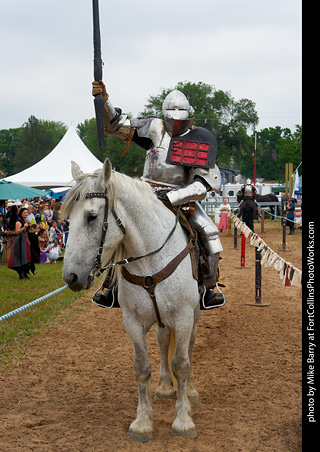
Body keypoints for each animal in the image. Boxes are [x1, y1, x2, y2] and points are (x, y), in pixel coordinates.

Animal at [62, 158, 201, 442]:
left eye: (91, 216)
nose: (70, 276)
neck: (151, 259)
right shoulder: (133, 322)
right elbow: (141, 368)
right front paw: (142, 422)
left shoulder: (183, 317)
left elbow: (181, 363)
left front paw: (183, 421)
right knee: (162, 342)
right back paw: (165, 387)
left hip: (194, 315)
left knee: (189, 347)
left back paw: (190, 391)